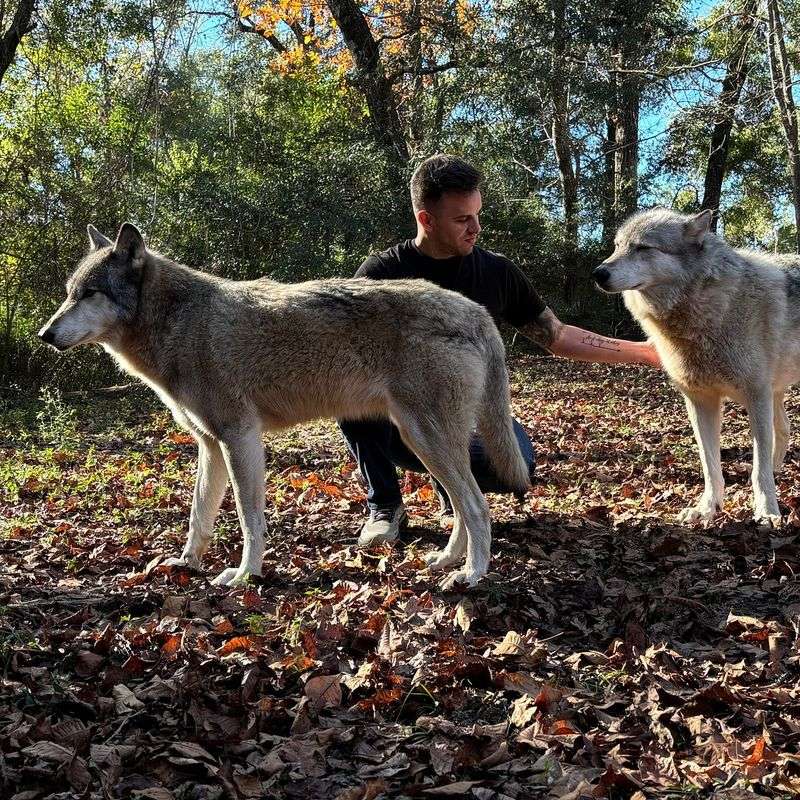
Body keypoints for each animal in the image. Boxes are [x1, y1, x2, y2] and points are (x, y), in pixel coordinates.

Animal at [38, 223, 530, 588]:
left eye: (90, 294)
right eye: (69, 292)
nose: (44, 334)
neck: (179, 323)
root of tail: (477, 312)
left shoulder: (239, 438)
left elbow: (248, 518)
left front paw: (244, 575)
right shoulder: (210, 446)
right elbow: (199, 516)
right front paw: (185, 563)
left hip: (425, 439)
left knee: (477, 506)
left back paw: (471, 575)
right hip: (426, 442)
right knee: (464, 505)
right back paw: (446, 560)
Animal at [593, 207, 800, 526]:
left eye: (643, 248)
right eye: (617, 246)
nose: (598, 273)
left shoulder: (756, 397)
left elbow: (758, 469)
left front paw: (767, 511)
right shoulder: (700, 401)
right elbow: (710, 465)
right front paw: (706, 509)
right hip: (774, 394)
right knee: (785, 429)